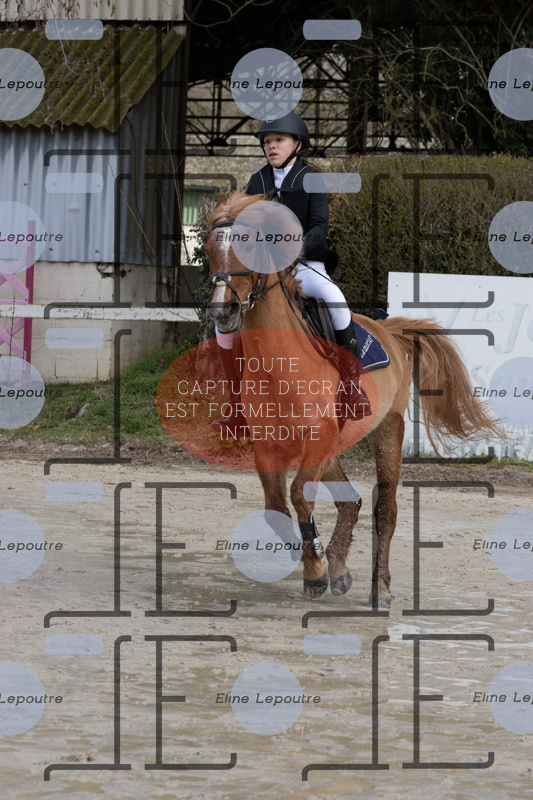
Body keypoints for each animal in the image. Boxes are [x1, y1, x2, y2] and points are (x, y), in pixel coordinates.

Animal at [205, 192, 501, 607]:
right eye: (209, 250)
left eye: (249, 245)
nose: (223, 311)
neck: (278, 360)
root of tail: (388, 330)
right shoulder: (269, 444)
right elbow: (276, 506)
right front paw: (312, 561)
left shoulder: (318, 437)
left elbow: (298, 495)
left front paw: (315, 569)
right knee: (349, 501)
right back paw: (339, 567)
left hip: (387, 430)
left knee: (385, 509)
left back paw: (380, 589)